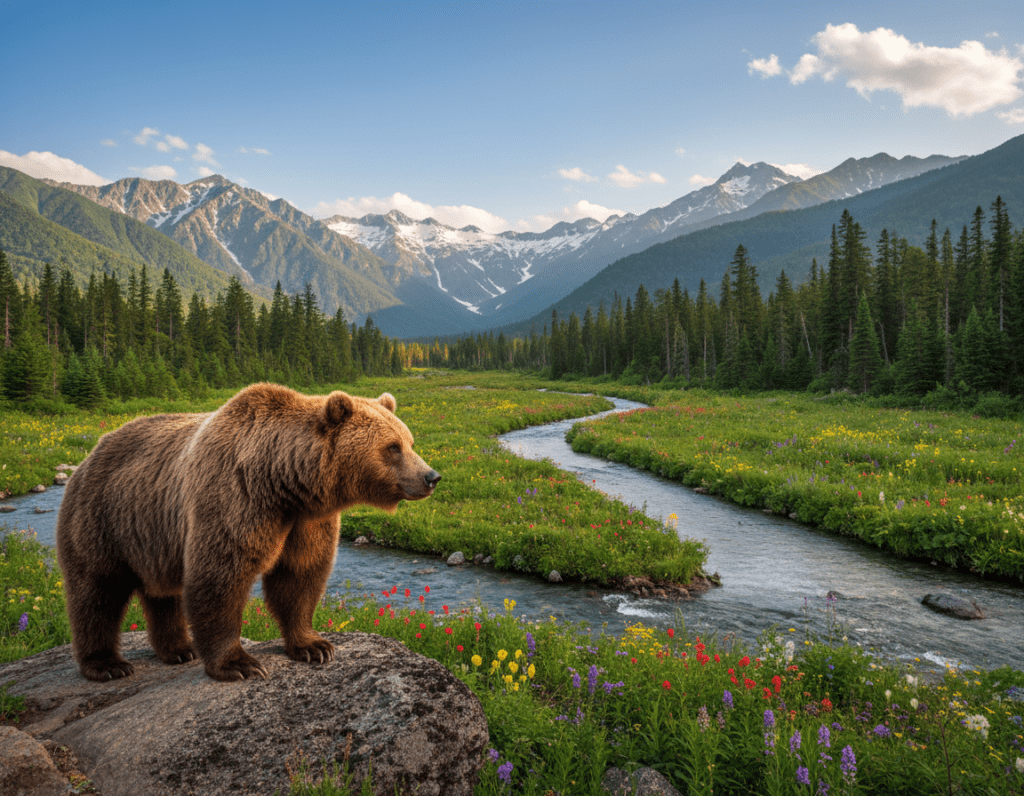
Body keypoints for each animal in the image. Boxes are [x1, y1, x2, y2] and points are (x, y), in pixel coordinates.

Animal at [56, 383, 440, 682]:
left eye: (410, 441)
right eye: (392, 447)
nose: (431, 476)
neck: (284, 482)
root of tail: (90, 454)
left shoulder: (306, 521)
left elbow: (300, 576)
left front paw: (314, 646)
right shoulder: (235, 500)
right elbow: (221, 575)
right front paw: (239, 664)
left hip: (152, 536)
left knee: (162, 593)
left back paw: (179, 649)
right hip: (102, 519)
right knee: (96, 591)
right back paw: (107, 664)